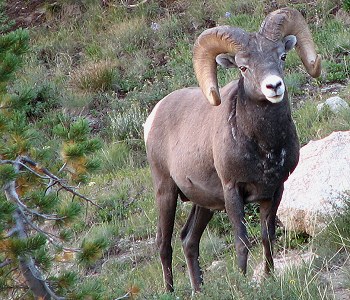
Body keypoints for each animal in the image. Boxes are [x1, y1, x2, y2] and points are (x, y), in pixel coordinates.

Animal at [144, 7, 322, 292]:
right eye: (243, 67)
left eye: (282, 56)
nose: (274, 86)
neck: (265, 148)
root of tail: (152, 118)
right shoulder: (232, 191)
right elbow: (242, 241)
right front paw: (242, 281)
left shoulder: (274, 191)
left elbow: (267, 237)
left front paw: (269, 277)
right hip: (165, 191)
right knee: (164, 243)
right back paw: (170, 292)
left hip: (203, 204)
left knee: (188, 240)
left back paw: (199, 290)